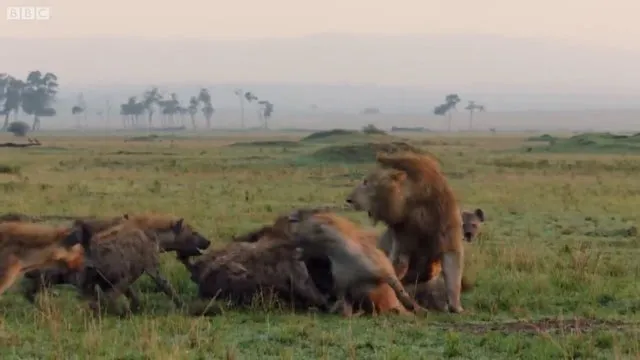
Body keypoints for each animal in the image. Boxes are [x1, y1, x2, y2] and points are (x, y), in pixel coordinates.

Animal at [344, 150, 464, 314]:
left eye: (366, 182)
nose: (348, 199)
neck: (414, 206)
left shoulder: (447, 234)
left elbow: (453, 274)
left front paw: (456, 307)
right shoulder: (401, 240)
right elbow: (396, 267)